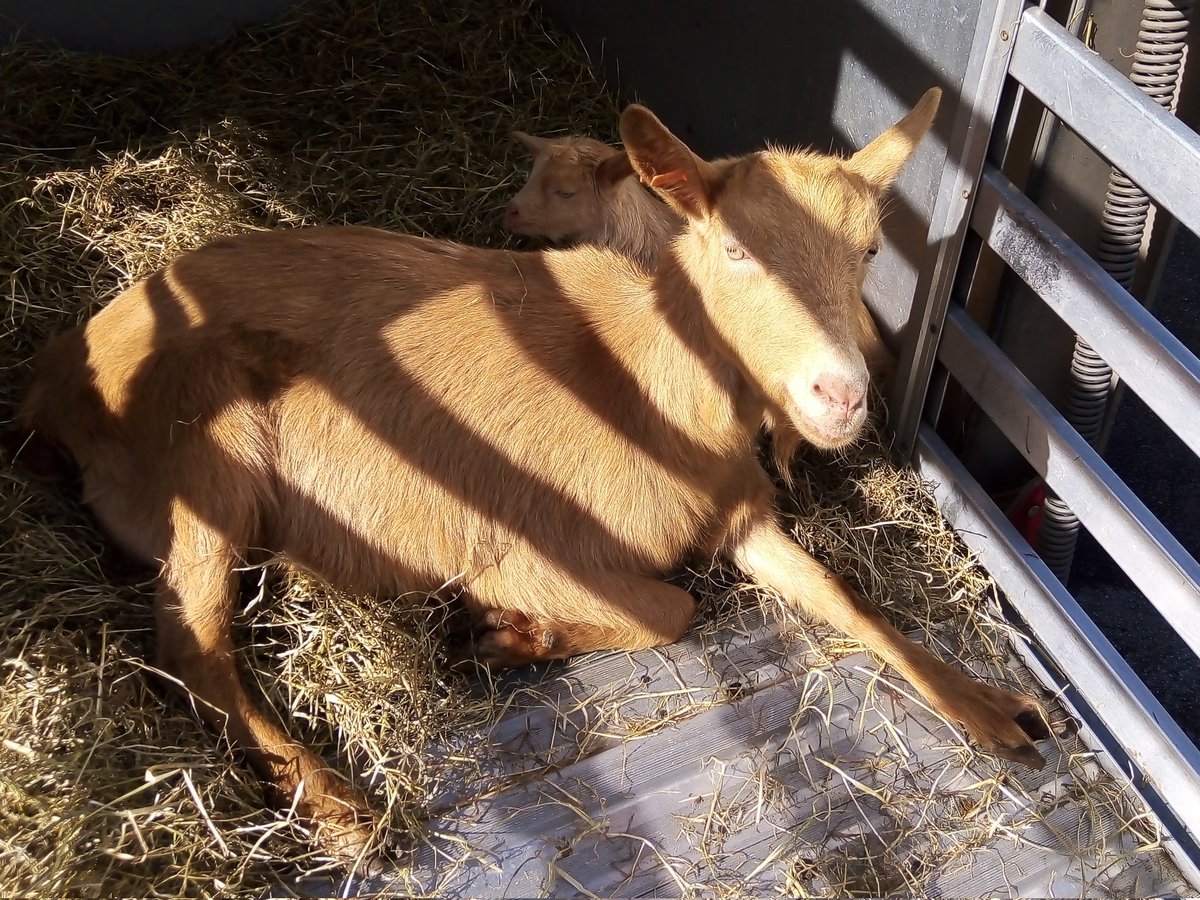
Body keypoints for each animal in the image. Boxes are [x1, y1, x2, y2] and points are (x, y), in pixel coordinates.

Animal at [21, 89, 1046, 866]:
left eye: (870, 252)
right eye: (735, 249)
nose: (840, 394)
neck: (651, 384)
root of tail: (62, 369)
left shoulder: (743, 515)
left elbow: (842, 594)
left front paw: (990, 707)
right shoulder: (526, 543)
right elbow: (670, 609)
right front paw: (509, 632)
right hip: (205, 448)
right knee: (189, 643)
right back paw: (340, 808)